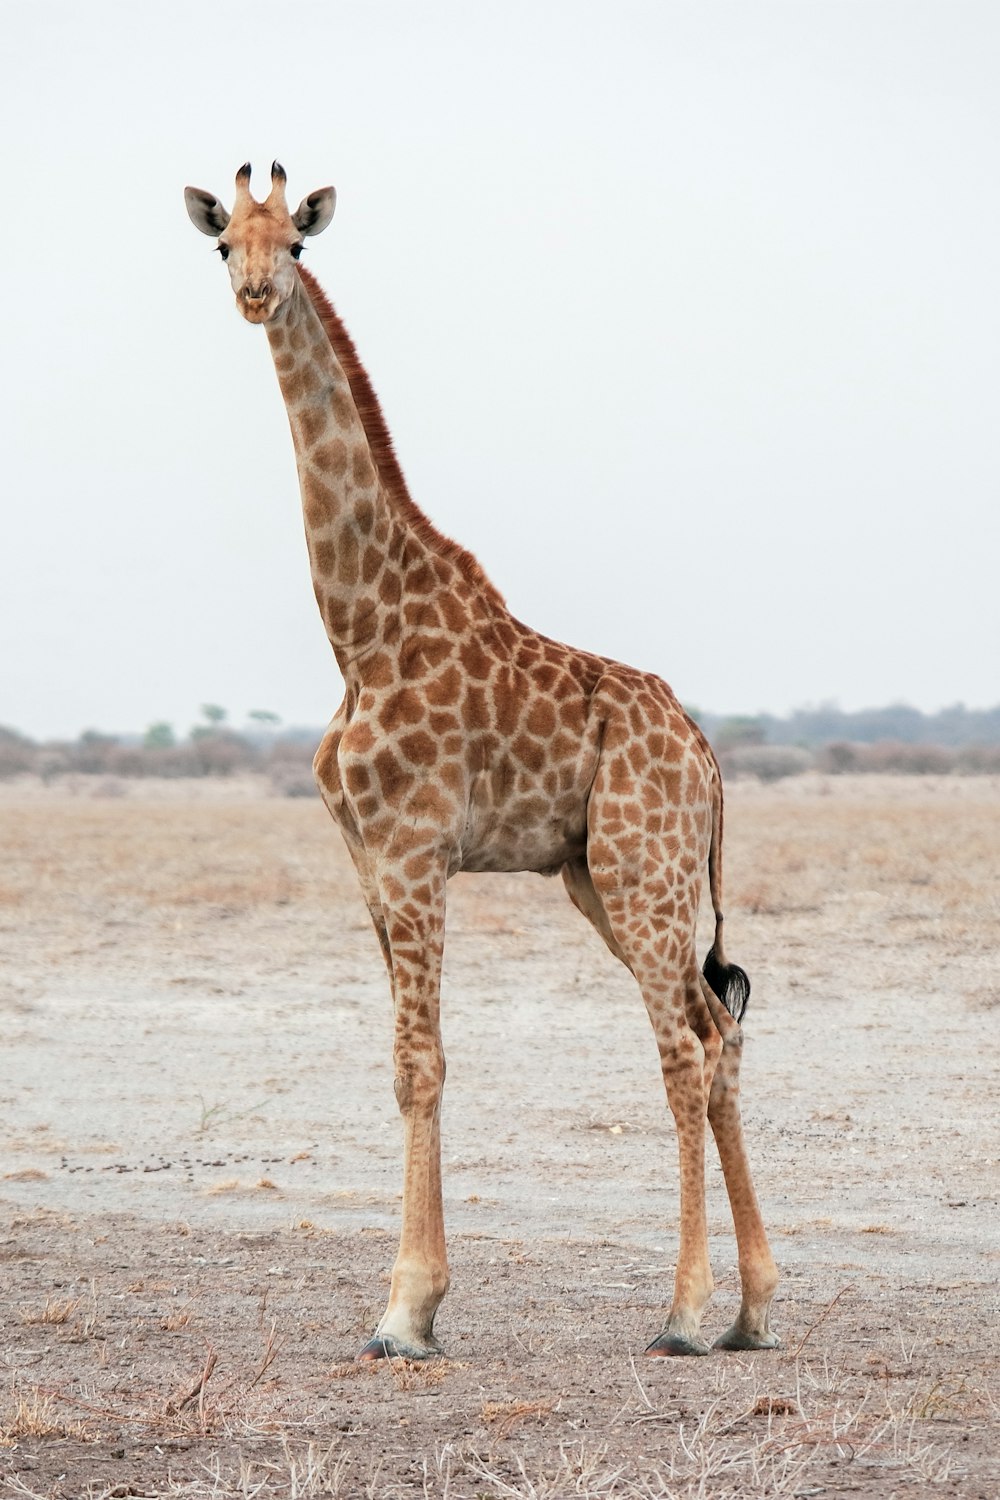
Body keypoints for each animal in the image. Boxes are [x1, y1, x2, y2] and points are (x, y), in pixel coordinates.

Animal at [187, 161, 779, 1362]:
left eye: (298, 245)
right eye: (224, 244)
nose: (258, 294)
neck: (360, 629)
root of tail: (705, 757)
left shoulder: (416, 853)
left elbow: (423, 1063)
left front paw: (405, 1312)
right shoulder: (368, 865)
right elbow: (404, 1061)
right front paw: (410, 1303)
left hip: (643, 874)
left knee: (684, 1052)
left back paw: (685, 1313)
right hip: (602, 877)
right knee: (720, 1033)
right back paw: (753, 1308)